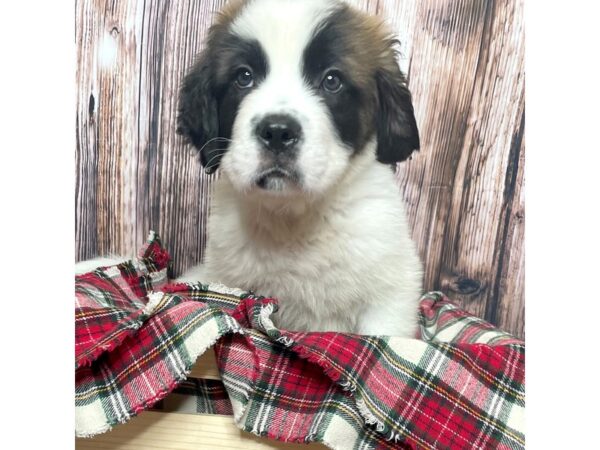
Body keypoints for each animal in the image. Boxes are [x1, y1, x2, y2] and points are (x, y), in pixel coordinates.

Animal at [77, 0, 422, 338]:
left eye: (332, 80)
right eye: (244, 77)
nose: (278, 132)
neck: (293, 220)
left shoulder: (389, 298)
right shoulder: (223, 280)